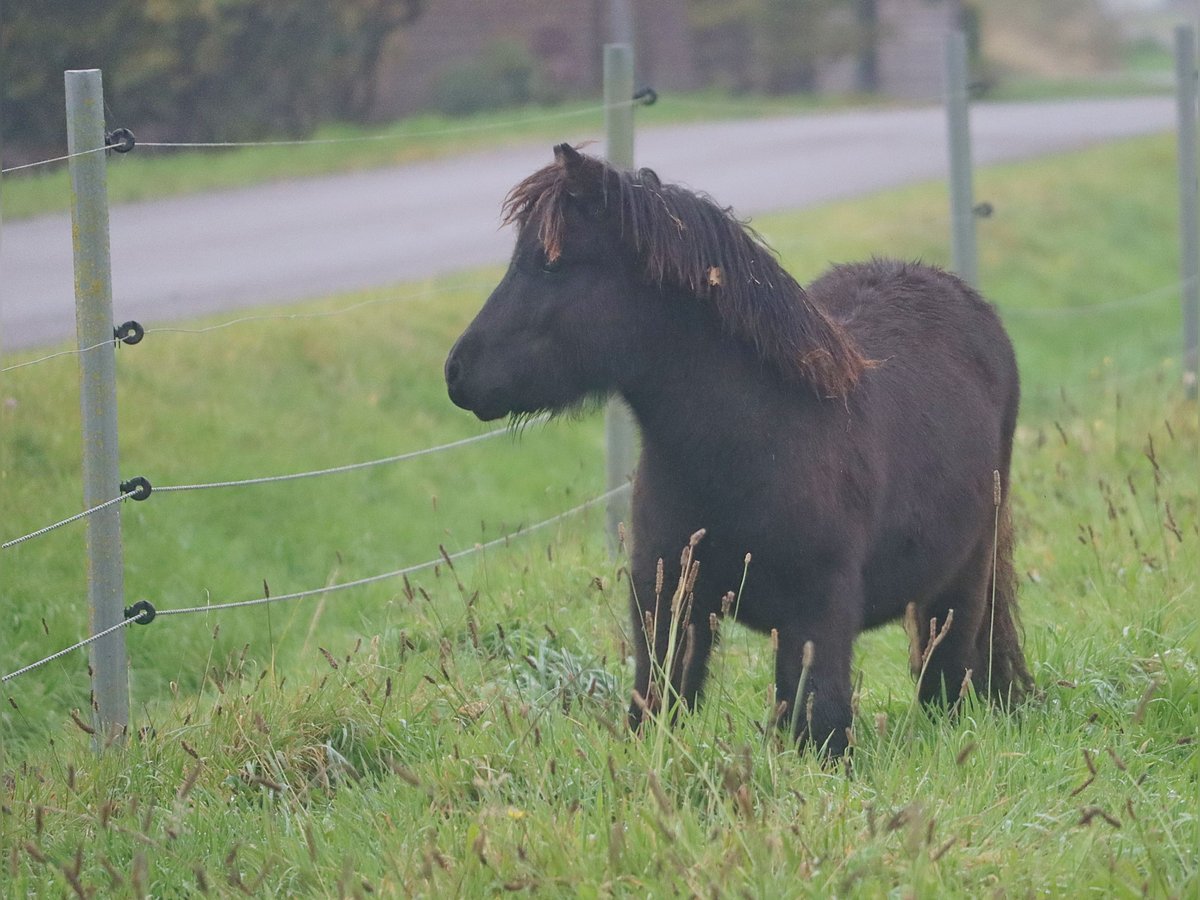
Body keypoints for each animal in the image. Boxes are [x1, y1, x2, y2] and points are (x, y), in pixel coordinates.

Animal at [446, 144, 1036, 758]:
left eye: (551, 264)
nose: (457, 373)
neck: (752, 442)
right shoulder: (667, 604)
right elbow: (656, 708)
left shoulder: (817, 620)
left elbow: (820, 726)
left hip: (961, 585)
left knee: (948, 684)